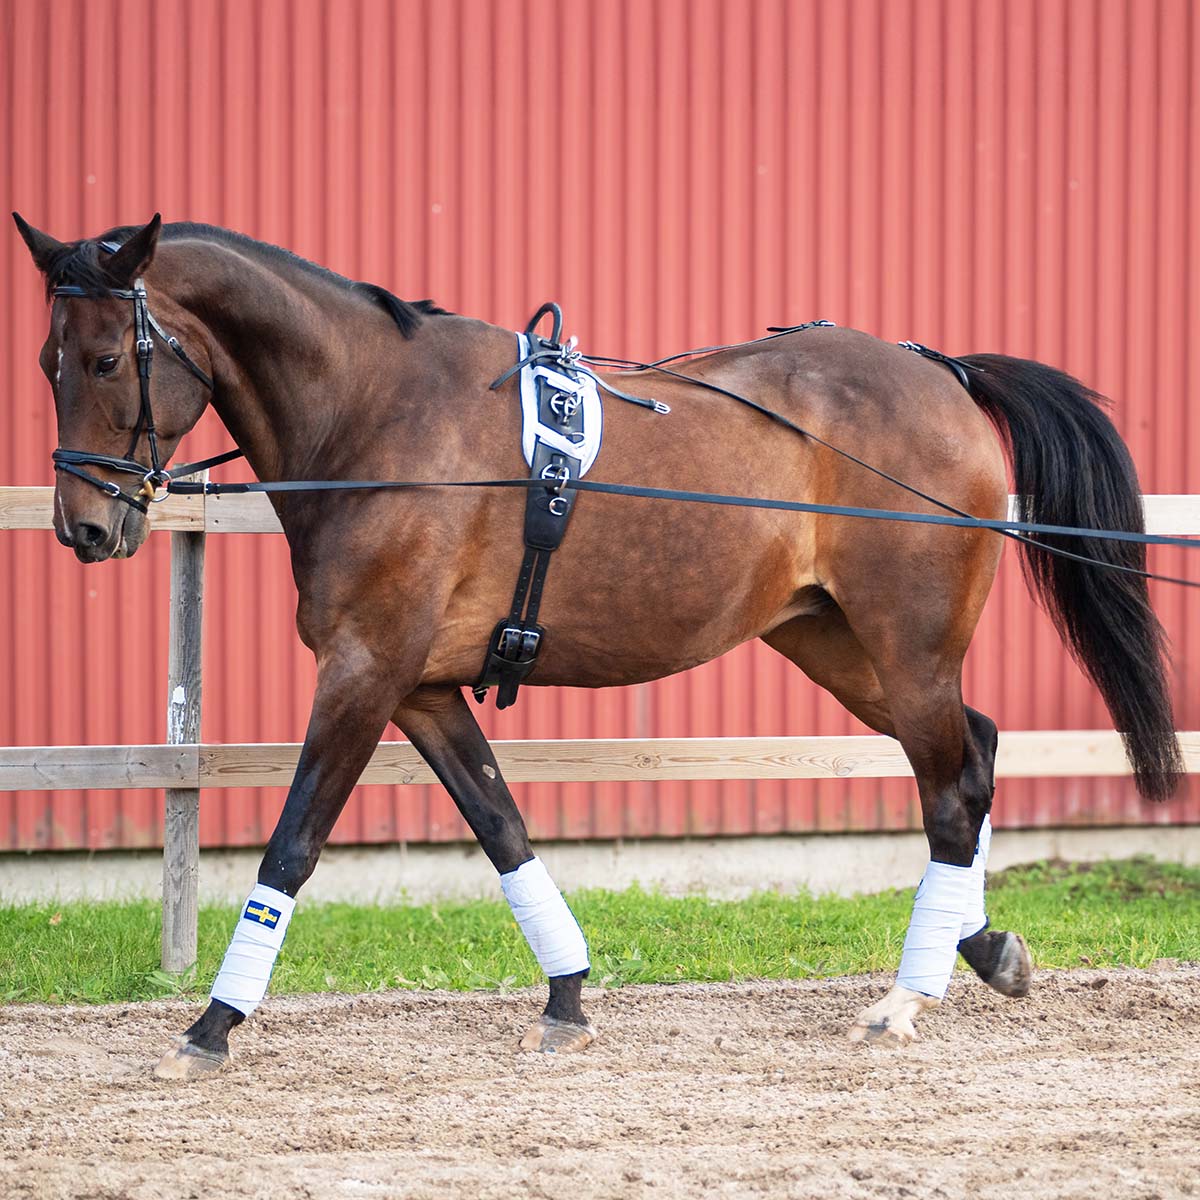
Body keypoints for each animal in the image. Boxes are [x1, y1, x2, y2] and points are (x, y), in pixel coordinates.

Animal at [11, 208, 1180, 1080]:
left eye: (107, 358)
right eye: (47, 360)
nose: (85, 529)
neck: (378, 416)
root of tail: (939, 371)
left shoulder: (364, 670)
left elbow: (292, 843)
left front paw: (212, 1025)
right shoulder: (422, 686)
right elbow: (501, 826)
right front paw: (568, 996)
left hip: (907, 643)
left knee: (951, 782)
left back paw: (906, 997)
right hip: (836, 644)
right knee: (972, 754)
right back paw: (981, 951)